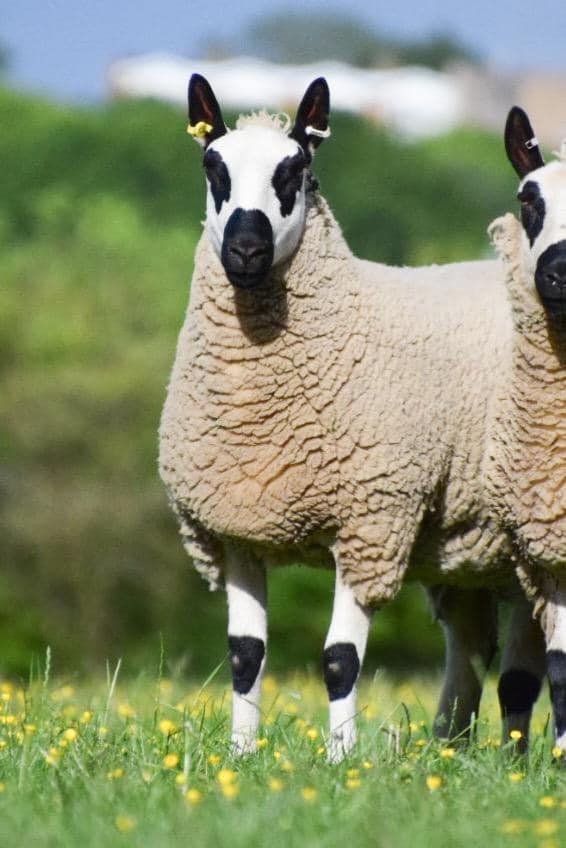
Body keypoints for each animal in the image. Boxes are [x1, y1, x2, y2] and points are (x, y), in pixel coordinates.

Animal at [159, 73, 516, 760]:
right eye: (213, 167)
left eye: (297, 170)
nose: (246, 250)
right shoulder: (238, 528)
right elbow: (245, 657)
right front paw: (240, 757)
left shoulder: (371, 518)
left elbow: (339, 660)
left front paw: (341, 761)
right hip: (475, 547)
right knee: (475, 647)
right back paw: (455, 747)